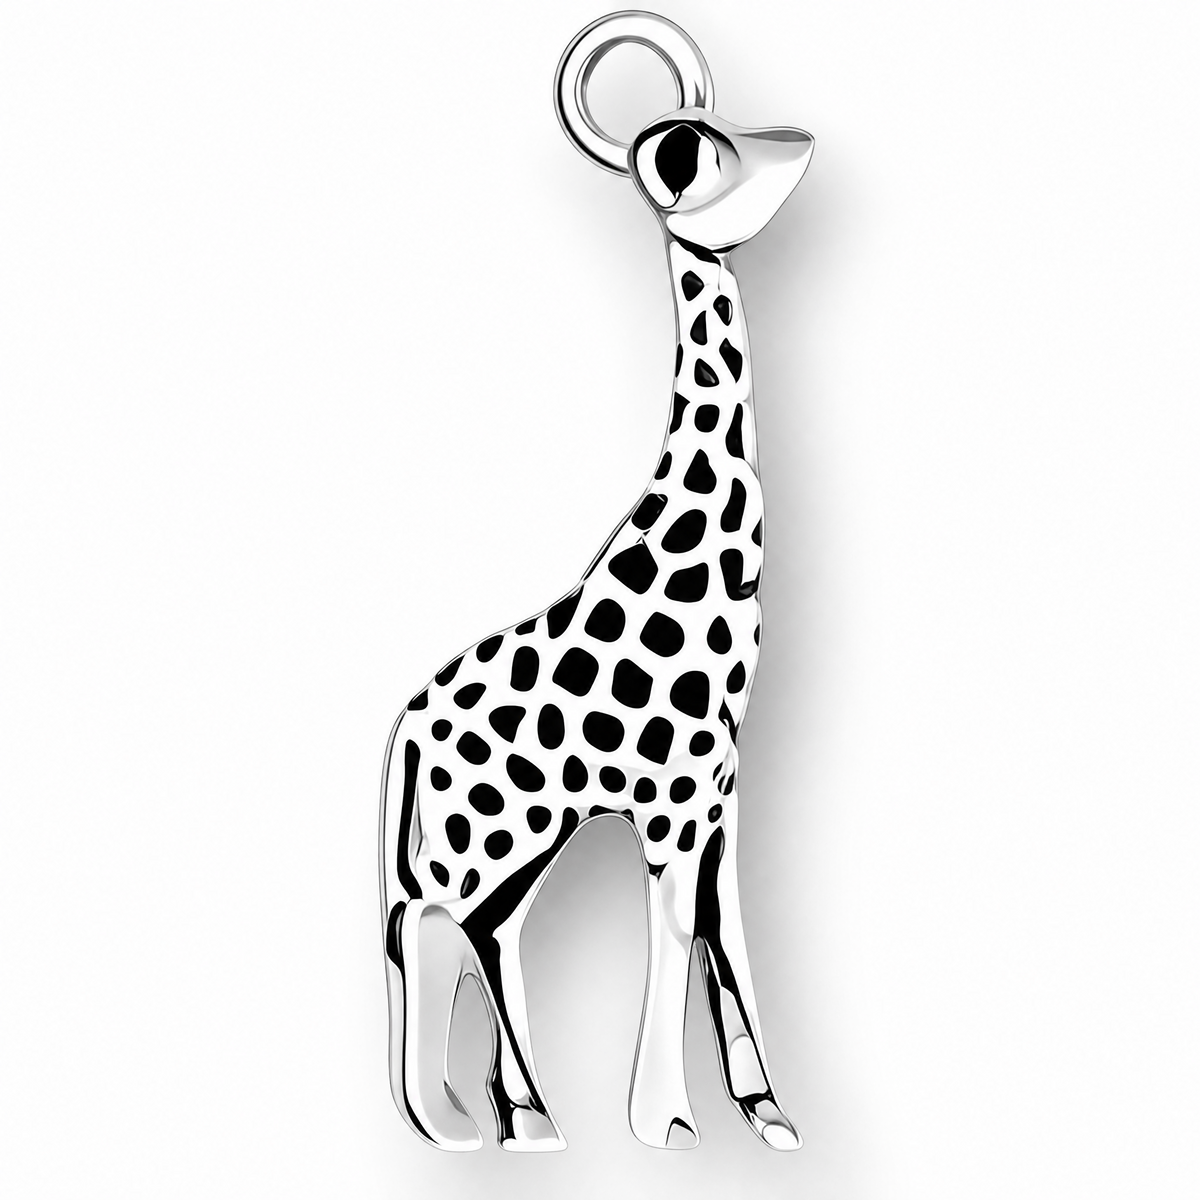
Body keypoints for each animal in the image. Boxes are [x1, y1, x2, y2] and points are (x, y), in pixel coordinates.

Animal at [380, 107, 813, 1152]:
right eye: (720, 155)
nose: (805, 143)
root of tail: (406, 732)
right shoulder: (672, 799)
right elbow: (674, 927)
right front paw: (667, 1124)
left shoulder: (720, 791)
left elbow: (723, 927)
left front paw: (768, 1114)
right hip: (486, 832)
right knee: (439, 926)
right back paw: (479, 1123)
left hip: (513, 837)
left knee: (477, 932)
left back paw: (522, 1119)